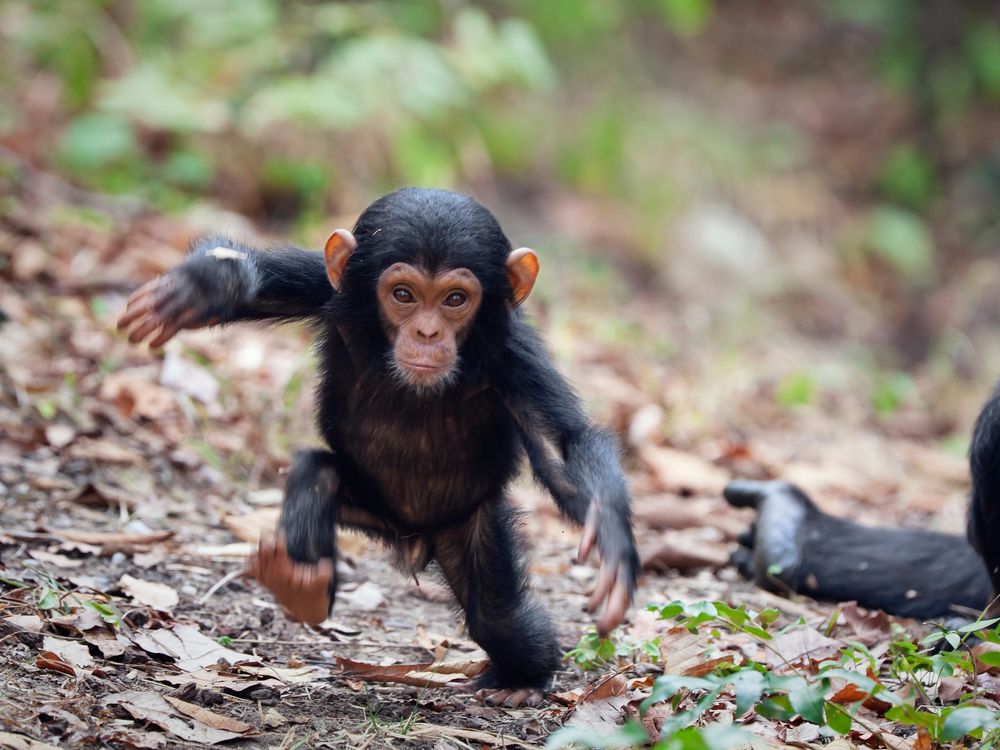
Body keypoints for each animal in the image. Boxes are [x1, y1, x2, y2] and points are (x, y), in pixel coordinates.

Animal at [115, 187, 632, 704]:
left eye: (455, 299)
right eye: (403, 294)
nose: (427, 333)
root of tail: (411, 537)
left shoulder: (515, 356)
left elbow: (565, 443)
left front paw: (612, 540)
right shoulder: (336, 291)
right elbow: (268, 284)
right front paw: (204, 286)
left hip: (467, 523)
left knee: (500, 619)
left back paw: (519, 680)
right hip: (367, 510)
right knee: (318, 472)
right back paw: (301, 583)